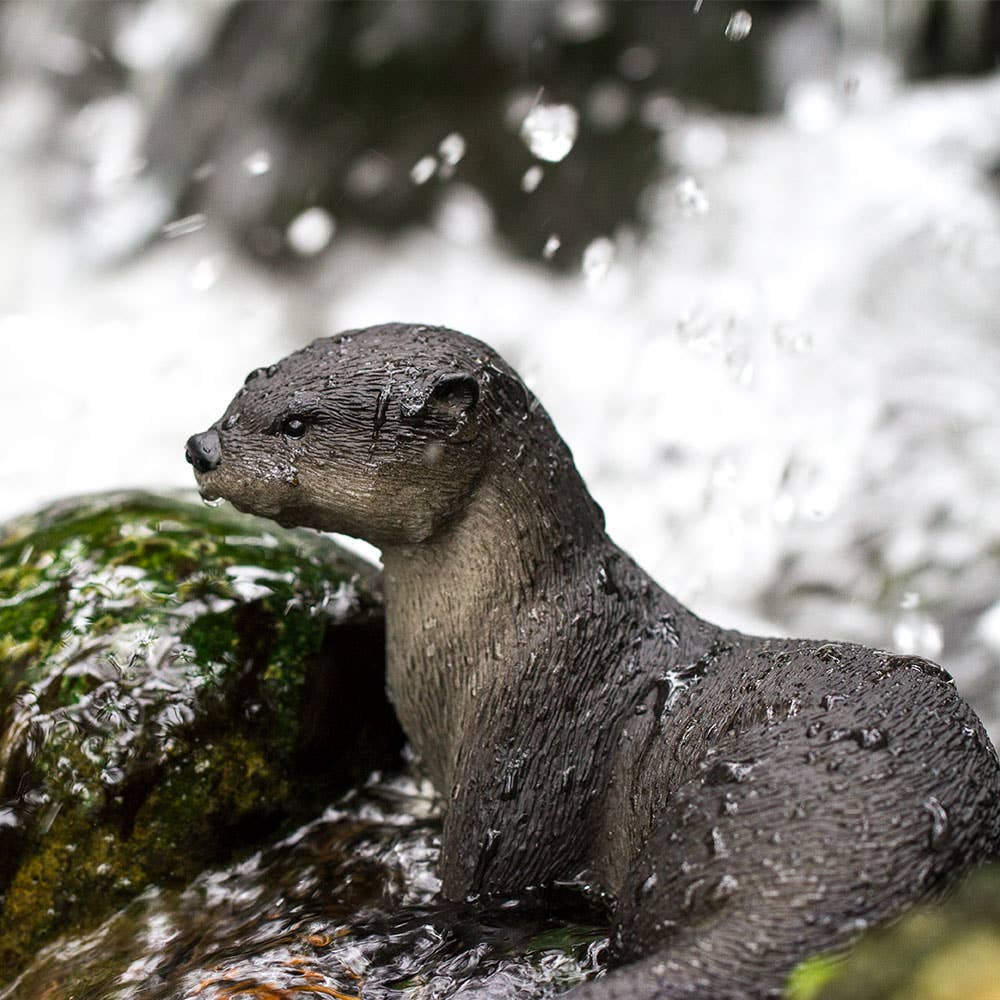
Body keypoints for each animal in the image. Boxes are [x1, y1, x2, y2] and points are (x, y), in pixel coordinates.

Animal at [186, 323, 1000, 999]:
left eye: (297, 423)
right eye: (244, 391)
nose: (202, 446)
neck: (514, 629)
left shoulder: (528, 738)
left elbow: (483, 879)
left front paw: (415, 927)